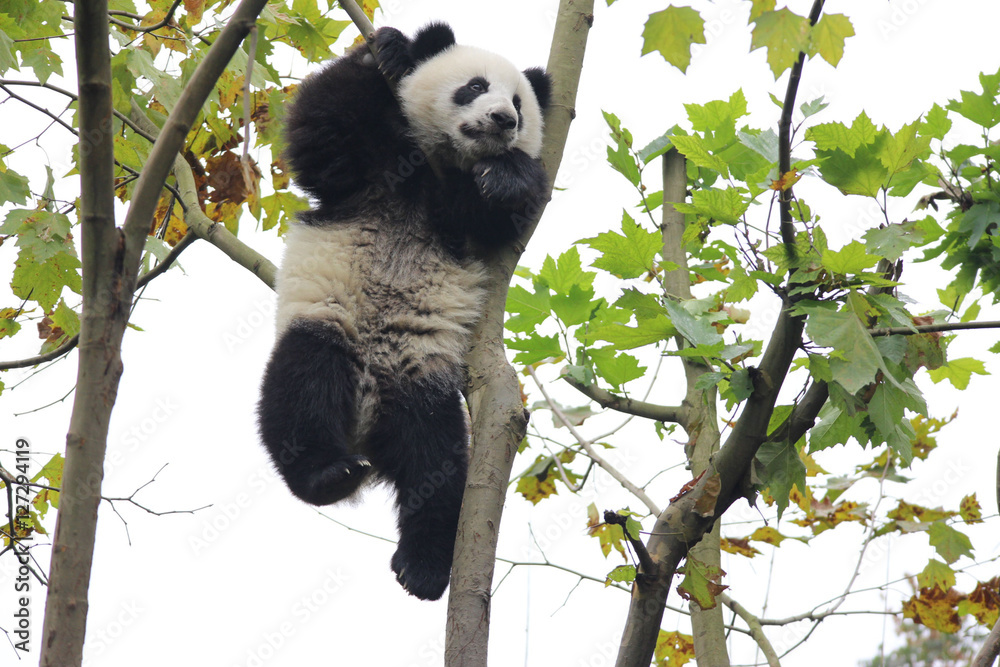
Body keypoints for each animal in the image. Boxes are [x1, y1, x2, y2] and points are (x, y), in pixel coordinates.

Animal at [257, 23, 551, 601]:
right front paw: (389, 50)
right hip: (330, 326)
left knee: (436, 465)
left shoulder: (465, 218)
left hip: (422, 378)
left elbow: (510, 214)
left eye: (519, 105)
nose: (502, 121)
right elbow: (320, 123)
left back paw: (423, 566)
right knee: (302, 387)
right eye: (474, 86)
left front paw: (508, 175)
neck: (432, 172)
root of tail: (368, 419)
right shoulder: (366, 169)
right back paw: (328, 475)